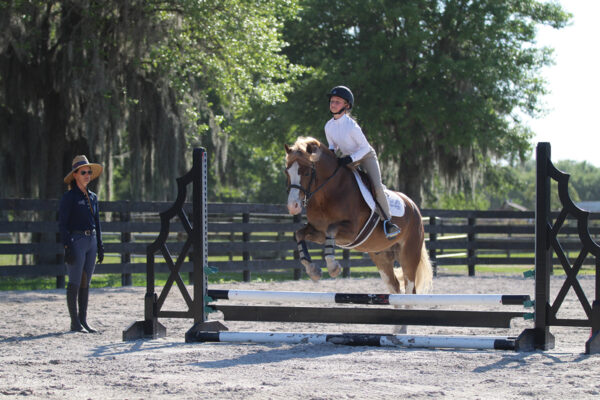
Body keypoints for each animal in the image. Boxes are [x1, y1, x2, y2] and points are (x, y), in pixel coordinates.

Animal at [284, 136, 432, 296]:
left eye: (306, 173)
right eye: (287, 172)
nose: (293, 206)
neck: (327, 194)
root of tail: (413, 205)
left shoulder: (352, 232)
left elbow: (331, 229)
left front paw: (333, 267)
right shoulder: (319, 232)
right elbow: (299, 234)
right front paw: (313, 271)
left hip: (409, 254)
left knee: (410, 287)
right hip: (381, 257)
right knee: (394, 285)